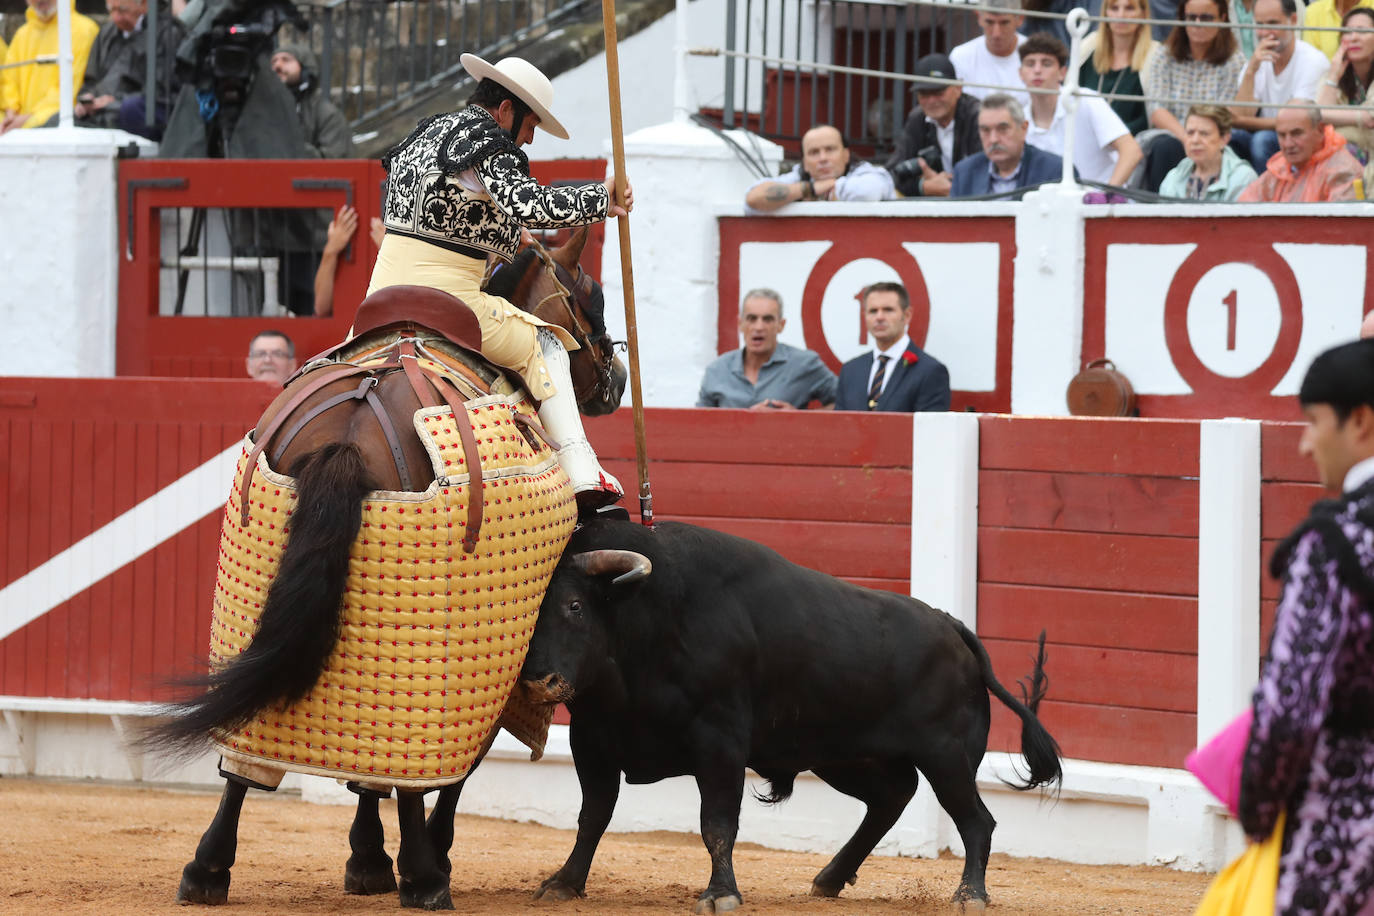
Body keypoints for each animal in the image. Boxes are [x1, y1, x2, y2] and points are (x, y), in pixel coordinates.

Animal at [144, 227, 629, 911]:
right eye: (593, 299)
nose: (615, 380)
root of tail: (356, 418)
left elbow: (369, 772)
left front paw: (367, 858)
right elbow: (449, 772)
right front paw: (420, 858)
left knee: (244, 753)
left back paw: (207, 869)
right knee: (420, 770)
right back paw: (425, 880)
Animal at [516, 519, 1060, 911]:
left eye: (574, 606)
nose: (539, 680)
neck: (648, 621)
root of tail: (952, 626)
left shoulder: (719, 741)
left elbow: (716, 821)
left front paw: (721, 894)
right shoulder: (592, 740)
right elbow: (592, 817)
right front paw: (564, 883)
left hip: (946, 755)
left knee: (975, 820)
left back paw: (969, 895)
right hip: (844, 755)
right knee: (892, 796)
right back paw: (830, 879)